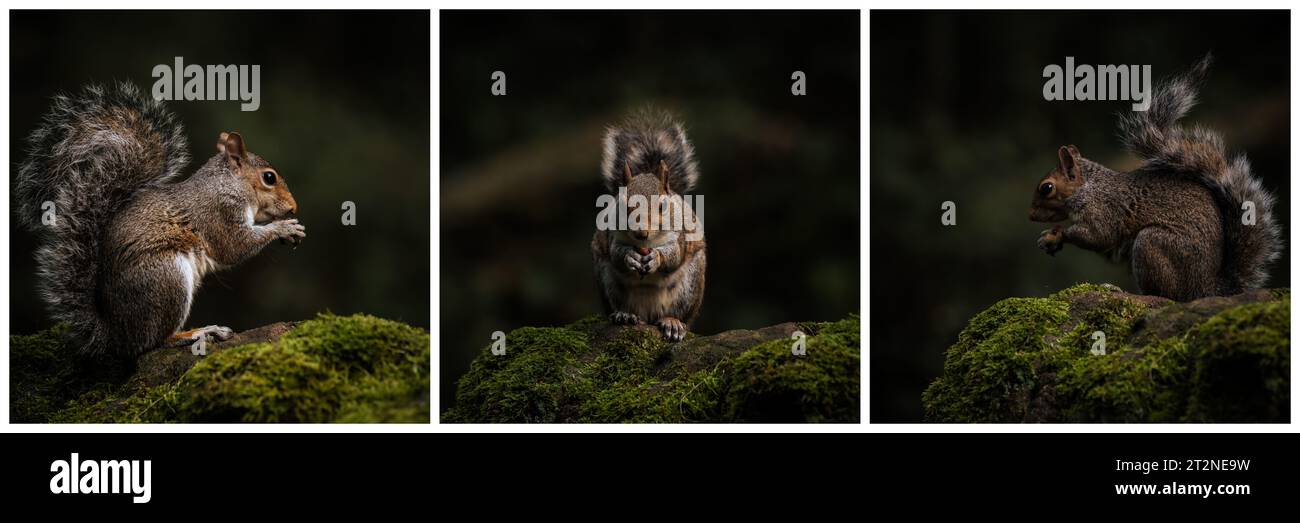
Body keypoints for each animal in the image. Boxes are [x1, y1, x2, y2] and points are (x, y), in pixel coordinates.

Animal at [13, 82, 306, 357]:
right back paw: (198, 332)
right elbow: (234, 246)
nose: (294, 207)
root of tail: (116, 335)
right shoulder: (218, 213)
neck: (227, 184)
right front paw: (283, 228)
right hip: (167, 277)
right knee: (153, 342)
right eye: (269, 178)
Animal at [591, 110, 707, 342]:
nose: (641, 233)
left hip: (690, 285)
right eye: (622, 204)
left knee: (679, 314)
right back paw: (625, 315)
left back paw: (673, 323)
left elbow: (674, 254)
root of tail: (649, 316)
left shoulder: (678, 235)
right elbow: (617, 253)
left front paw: (657, 258)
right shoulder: (613, 236)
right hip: (607, 280)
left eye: (662, 206)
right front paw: (630, 256)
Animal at [1030, 54, 1281, 301]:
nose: (1031, 216)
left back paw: (1123, 290)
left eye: (1046, 188)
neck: (1089, 187)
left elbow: (1098, 235)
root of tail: (1207, 289)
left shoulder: (1104, 209)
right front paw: (1048, 239)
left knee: (1167, 295)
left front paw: (1057, 235)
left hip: (1151, 244)